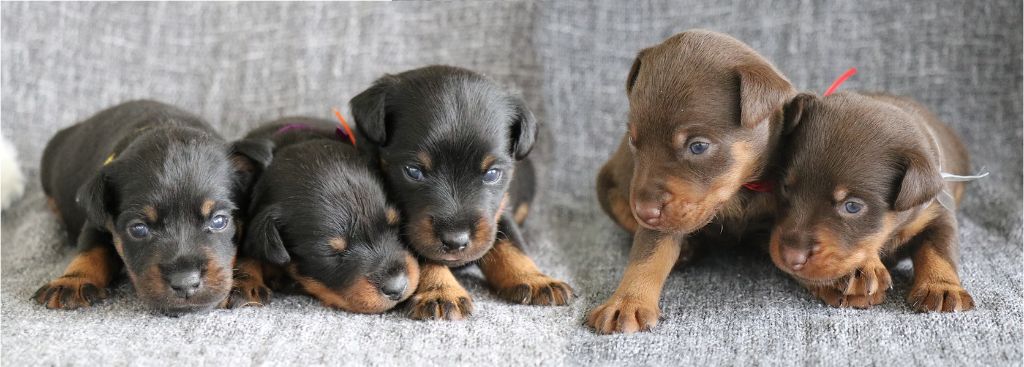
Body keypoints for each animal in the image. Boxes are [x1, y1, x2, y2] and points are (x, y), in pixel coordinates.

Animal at [38, 100, 274, 315]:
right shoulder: (98, 221)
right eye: (138, 229)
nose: (185, 283)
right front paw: (72, 281)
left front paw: (243, 281)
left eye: (219, 221)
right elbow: (91, 249)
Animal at [350, 64, 577, 319]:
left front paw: (535, 278)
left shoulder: (499, 210)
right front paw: (441, 291)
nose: (455, 241)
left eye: (492, 174)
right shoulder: (410, 227)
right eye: (413, 171)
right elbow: (426, 256)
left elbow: (511, 243)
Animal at [585, 30, 798, 334]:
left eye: (698, 146)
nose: (645, 212)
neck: (739, 190)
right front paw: (627, 302)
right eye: (633, 141)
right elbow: (648, 254)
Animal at [774, 91, 974, 311]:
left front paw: (942, 287)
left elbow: (939, 250)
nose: (791, 257)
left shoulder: (936, 212)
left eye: (852, 206)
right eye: (785, 187)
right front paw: (860, 269)